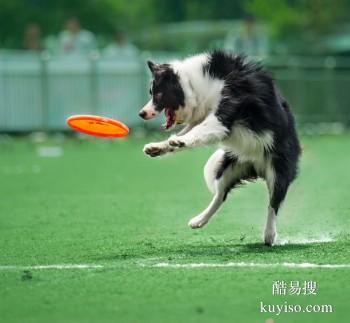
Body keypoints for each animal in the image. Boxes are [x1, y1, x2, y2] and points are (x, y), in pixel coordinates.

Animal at [139, 50, 300, 246]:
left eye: (159, 94)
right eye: (151, 92)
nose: (141, 113)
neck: (197, 84)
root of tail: (256, 166)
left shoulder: (226, 109)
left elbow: (199, 129)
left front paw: (179, 141)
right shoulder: (204, 117)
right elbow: (187, 132)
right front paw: (159, 146)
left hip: (278, 169)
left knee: (273, 204)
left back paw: (269, 235)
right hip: (228, 168)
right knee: (220, 195)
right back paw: (199, 220)